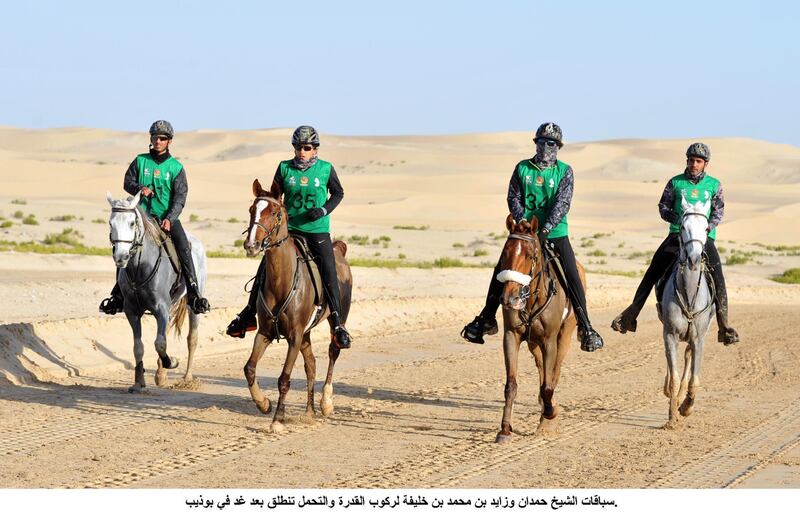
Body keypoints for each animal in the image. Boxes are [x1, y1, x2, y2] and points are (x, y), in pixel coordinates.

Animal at [106, 190, 206, 392]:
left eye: (132, 223)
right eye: (111, 223)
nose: (121, 257)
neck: (140, 268)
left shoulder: (161, 308)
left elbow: (160, 344)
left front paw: (172, 362)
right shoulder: (132, 311)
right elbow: (139, 347)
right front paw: (139, 382)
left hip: (191, 306)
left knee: (191, 338)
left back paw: (187, 378)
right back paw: (161, 374)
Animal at [242, 178, 352, 432]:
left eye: (274, 213)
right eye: (252, 209)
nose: (251, 245)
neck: (281, 280)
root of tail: (339, 250)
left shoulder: (294, 335)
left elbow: (284, 378)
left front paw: (278, 420)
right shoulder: (265, 332)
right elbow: (249, 368)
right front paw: (263, 403)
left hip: (335, 321)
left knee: (333, 352)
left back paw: (326, 403)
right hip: (306, 334)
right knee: (311, 364)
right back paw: (310, 411)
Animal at [490, 214, 584, 444]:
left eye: (531, 255)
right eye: (504, 253)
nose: (509, 298)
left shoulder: (550, 341)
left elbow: (549, 385)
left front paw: (550, 414)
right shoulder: (511, 336)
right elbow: (511, 384)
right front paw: (505, 429)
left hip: (564, 337)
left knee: (554, 373)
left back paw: (547, 414)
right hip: (534, 344)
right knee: (542, 369)